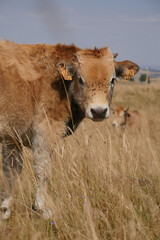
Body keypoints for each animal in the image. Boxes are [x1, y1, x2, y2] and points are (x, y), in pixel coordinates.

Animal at [0, 39, 139, 219]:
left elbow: (11, 170)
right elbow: (42, 169)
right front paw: (43, 209)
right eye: (80, 79)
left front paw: (5, 209)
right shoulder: (45, 133)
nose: (99, 111)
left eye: (113, 80)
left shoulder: (12, 137)